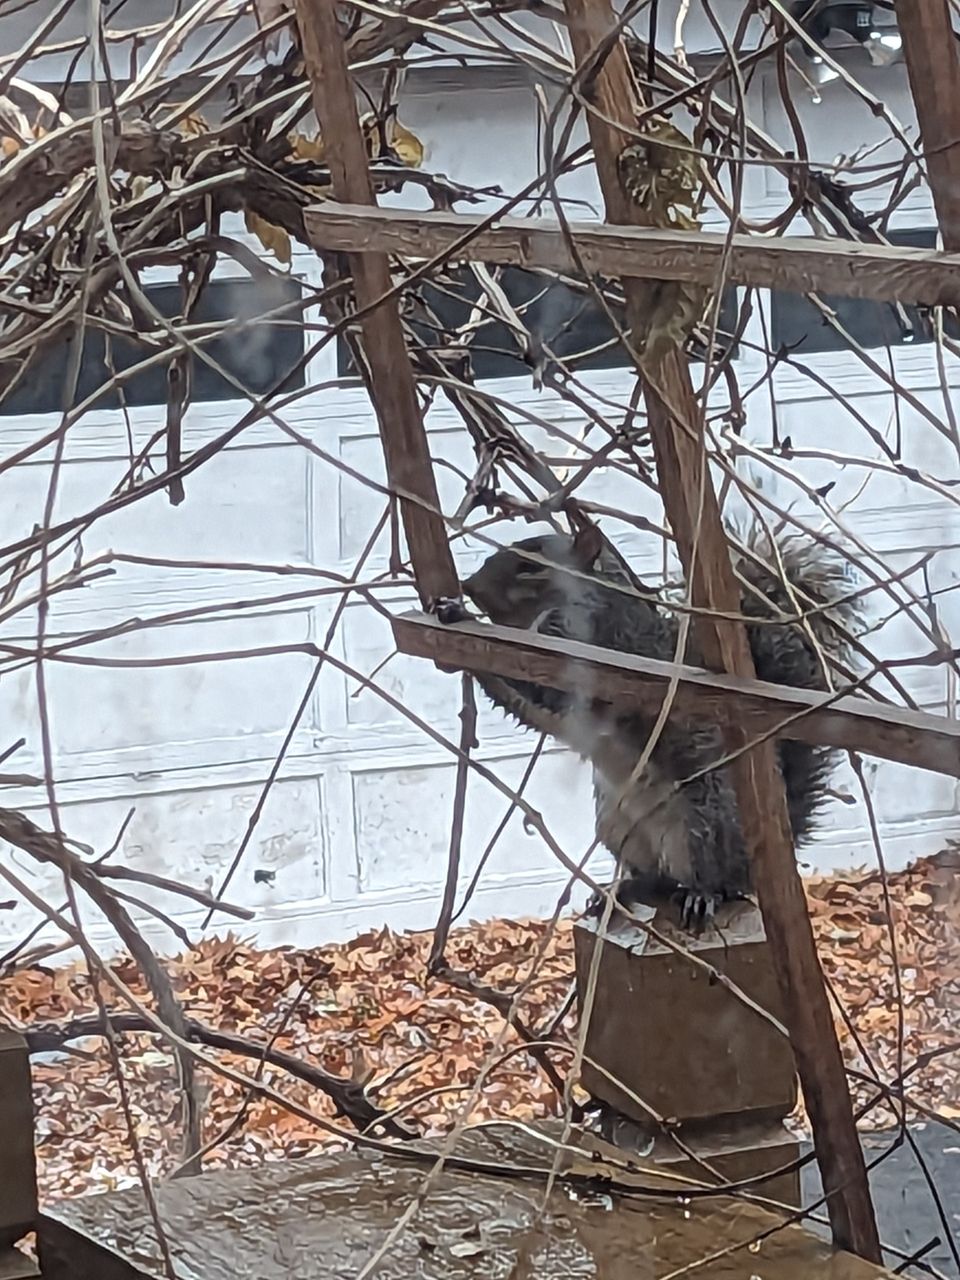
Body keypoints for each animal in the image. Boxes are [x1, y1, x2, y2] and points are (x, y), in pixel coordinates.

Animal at [463, 519, 860, 931]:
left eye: (532, 564)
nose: (469, 586)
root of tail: (749, 868)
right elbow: (526, 707)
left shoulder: (595, 648)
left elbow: (547, 691)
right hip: (616, 826)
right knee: (654, 878)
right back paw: (619, 890)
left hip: (705, 826)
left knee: (714, 881)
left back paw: (701, 896)